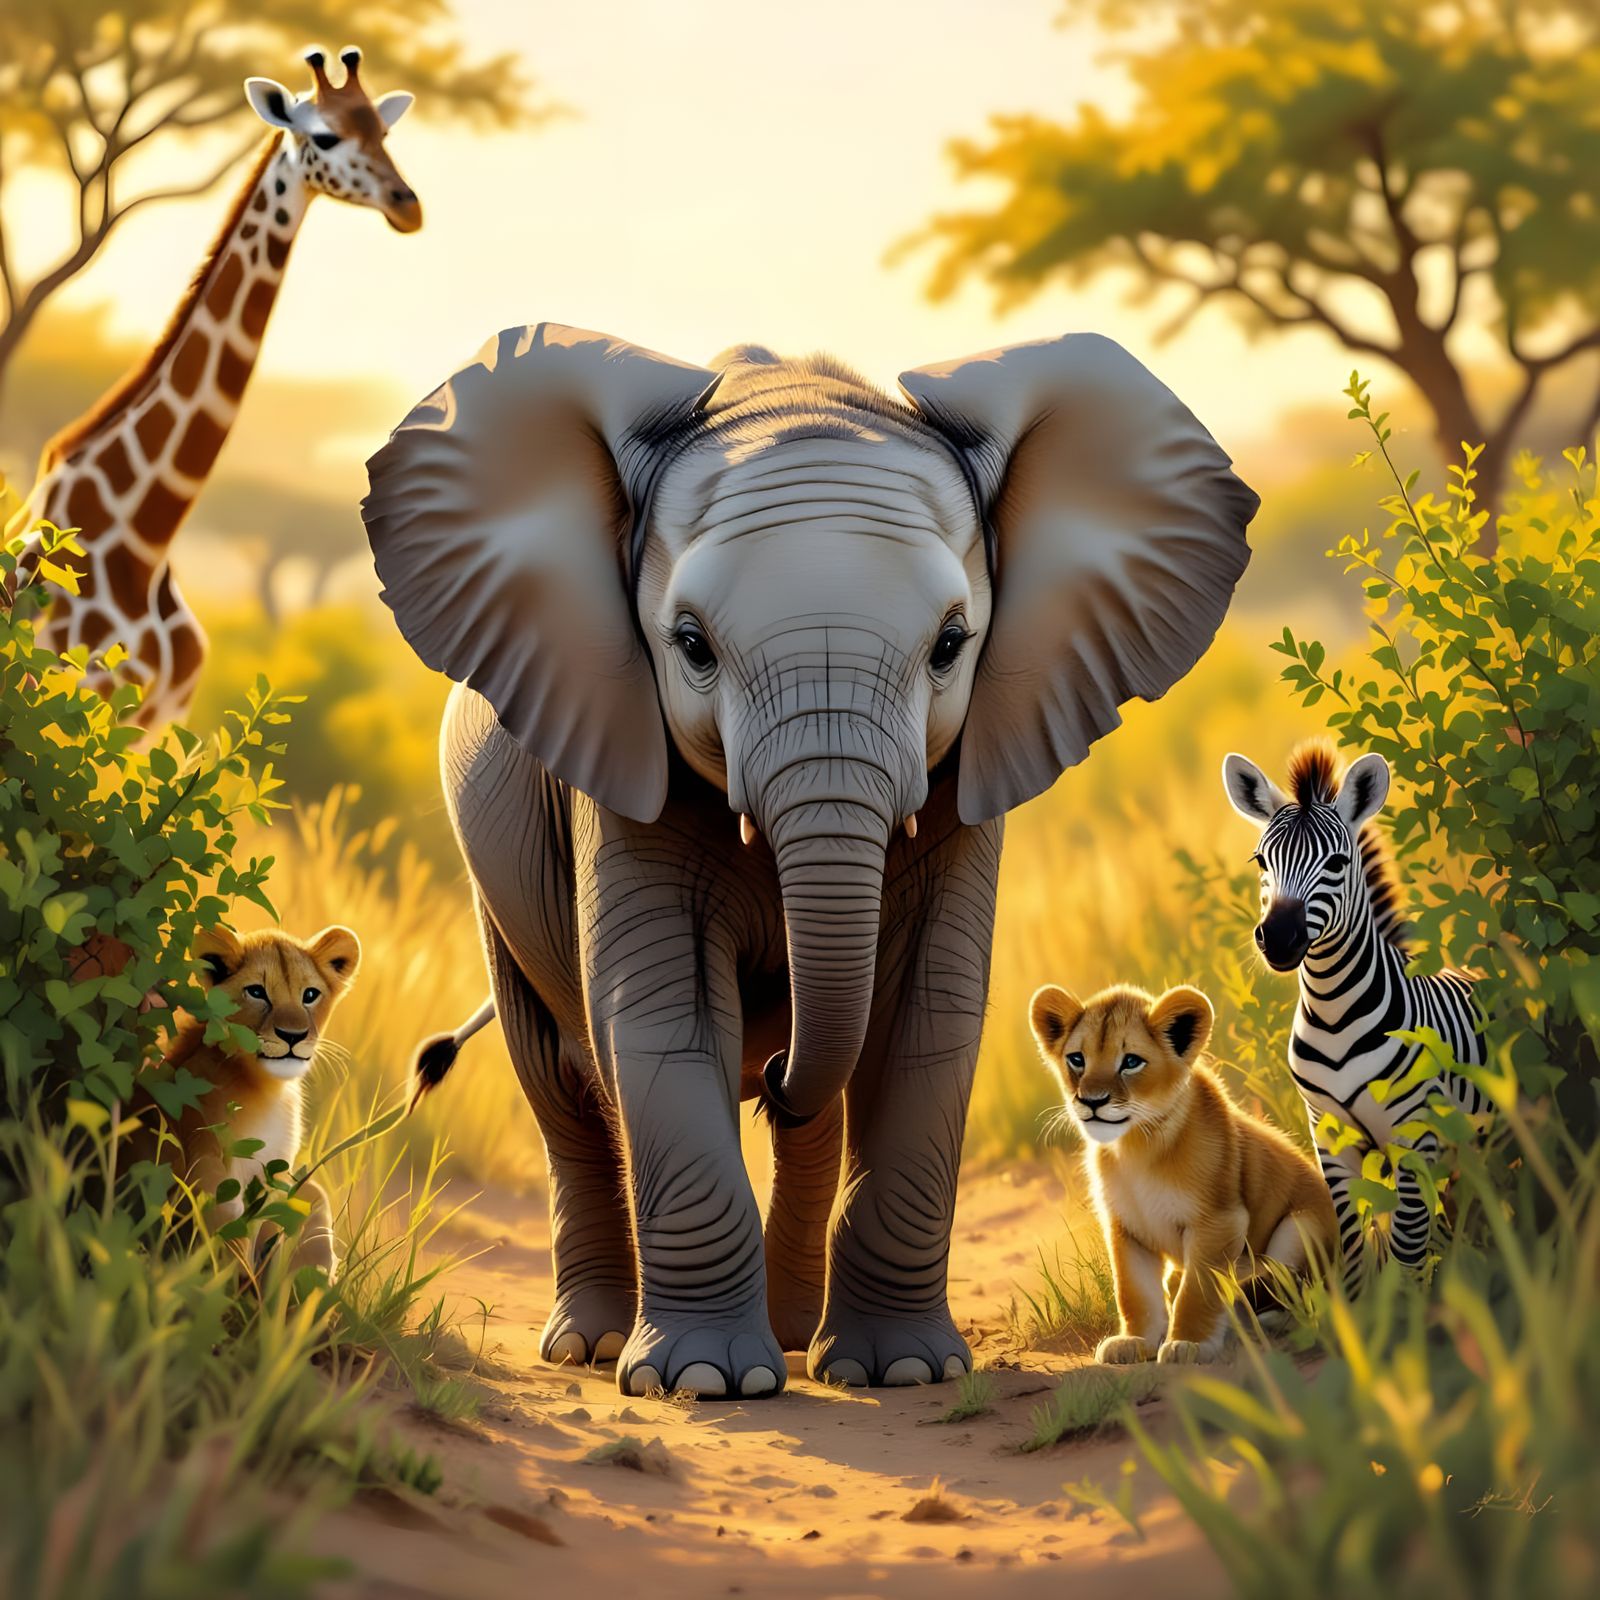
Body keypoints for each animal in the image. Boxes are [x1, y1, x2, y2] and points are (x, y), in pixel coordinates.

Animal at [361, 323, 1257, 1398]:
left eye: (951, 645)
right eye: (690, 645)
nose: (778, 1055)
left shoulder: (964, 773)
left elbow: (926, 1016)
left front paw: (900, 1371)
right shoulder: (614, 753)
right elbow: (658, 1016)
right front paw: (703, 1383)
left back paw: (794, 1334)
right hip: (497, 881)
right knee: (564, 1082)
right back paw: (596, 1346)